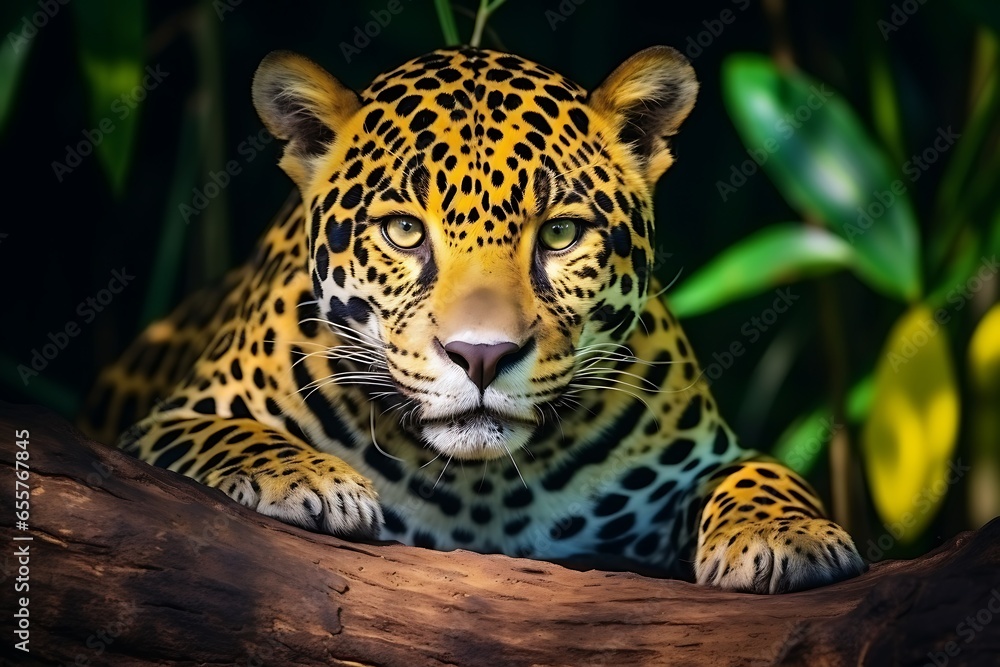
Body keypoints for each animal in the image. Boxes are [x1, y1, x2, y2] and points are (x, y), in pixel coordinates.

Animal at [81, 45, 865, 593]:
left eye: (559, 234)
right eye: (403, 231)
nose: (482, 356)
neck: (479, 491)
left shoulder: (697, 460)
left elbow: (763, 472)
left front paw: (787, 534)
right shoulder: (167, 420)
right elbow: (231, 435)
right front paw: (309, 479)